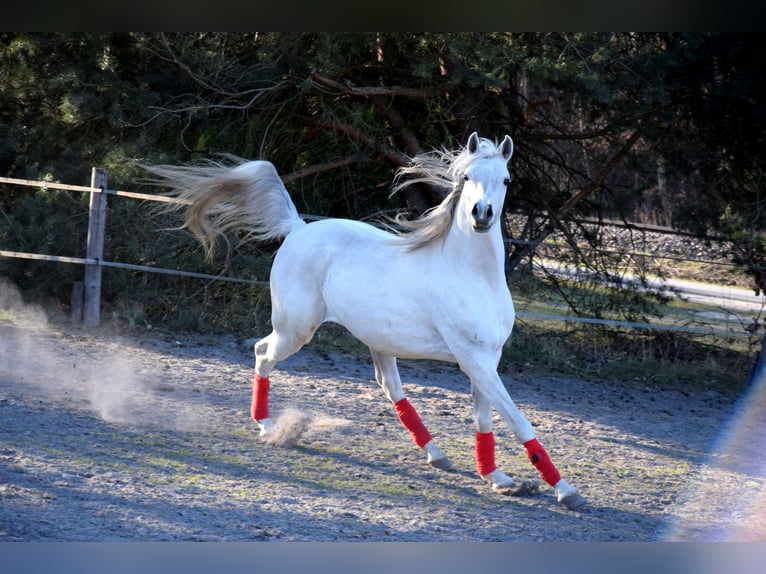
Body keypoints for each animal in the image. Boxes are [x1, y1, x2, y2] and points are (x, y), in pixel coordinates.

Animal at [144, 132, 585, 510]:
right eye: (466, 177)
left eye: (506, 179)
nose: (481, 214)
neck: (472, 274)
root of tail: (298, 229)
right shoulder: (473, 360)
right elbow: (519, 422)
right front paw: (566, 491)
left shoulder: (486, 360)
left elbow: (485, 420)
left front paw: (498, 478)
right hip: (296, 328)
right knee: (262, 352)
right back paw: (268, 428)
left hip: (376, 341)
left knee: (390, 388)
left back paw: (437, 456)